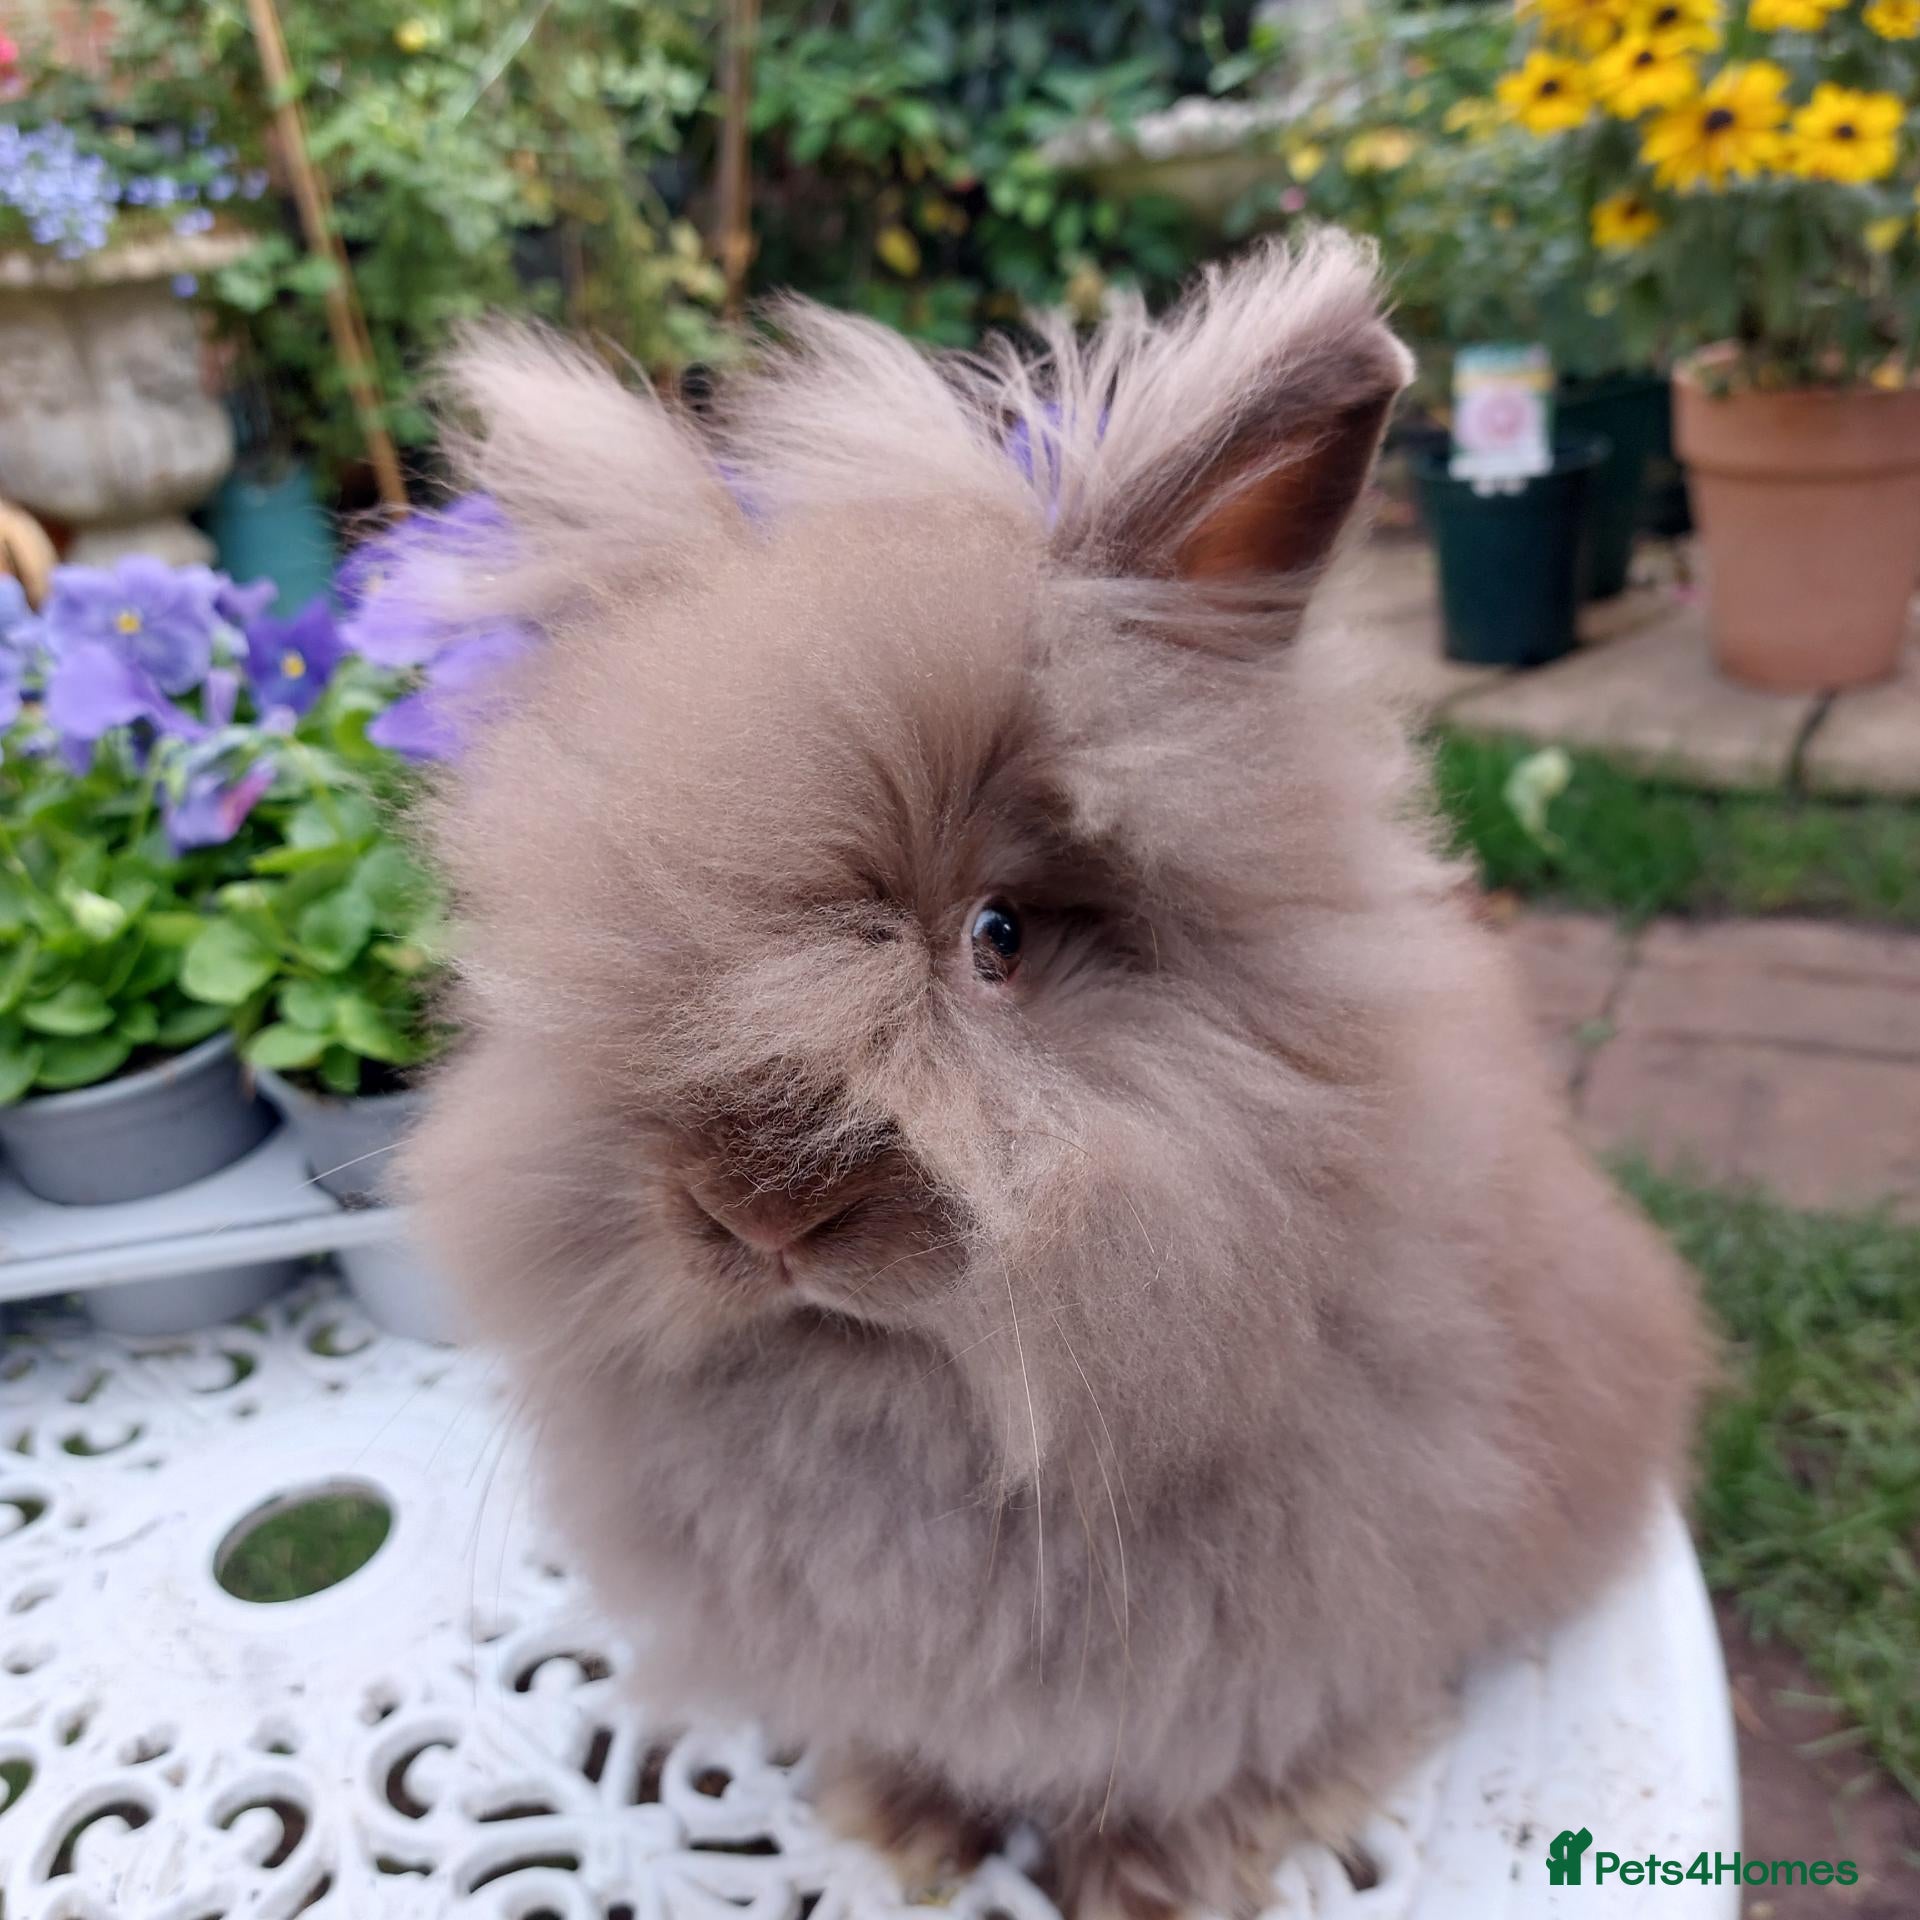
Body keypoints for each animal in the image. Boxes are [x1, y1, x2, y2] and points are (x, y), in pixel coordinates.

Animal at [400, 231, 1705, 1920]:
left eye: (999, 938)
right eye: (616, 941)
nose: (754, 1214)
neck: (913, 1402)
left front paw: (1148, 1872)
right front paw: (907, 1821)